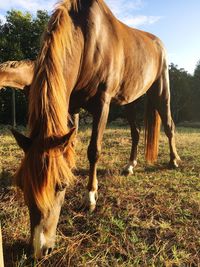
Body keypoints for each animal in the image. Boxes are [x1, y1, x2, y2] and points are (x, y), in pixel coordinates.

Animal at [8, 0, 180, 260]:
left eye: (61, 186)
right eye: (22, 184)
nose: (39, 249)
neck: (87, 40)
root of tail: (157, 42)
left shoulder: (102, 104)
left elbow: (93, 150)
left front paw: (90, 197)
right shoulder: (72, 106)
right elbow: (71, 146)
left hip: (161, 90)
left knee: (169, 125)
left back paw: (173, 160)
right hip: (129, 100)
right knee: (136, 132)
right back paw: (130, 166)